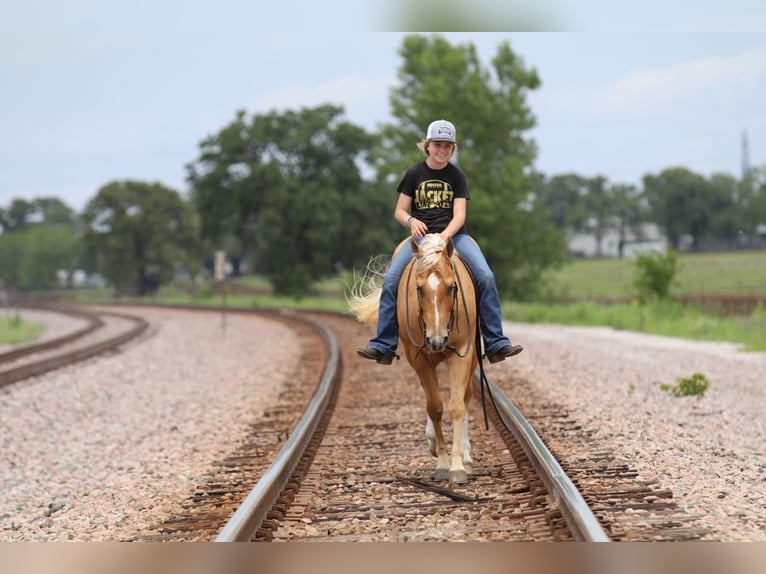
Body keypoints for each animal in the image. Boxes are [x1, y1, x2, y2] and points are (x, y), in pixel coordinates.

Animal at [350, 235, 480, 486]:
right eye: (419, 289)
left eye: (452, 287)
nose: (437, 340)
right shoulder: (419, 359)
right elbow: (435, 407)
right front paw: (442, 463)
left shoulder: (462, 354)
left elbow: (456, 405)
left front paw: (458, 466)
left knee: (467, 395)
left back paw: (467, 457)